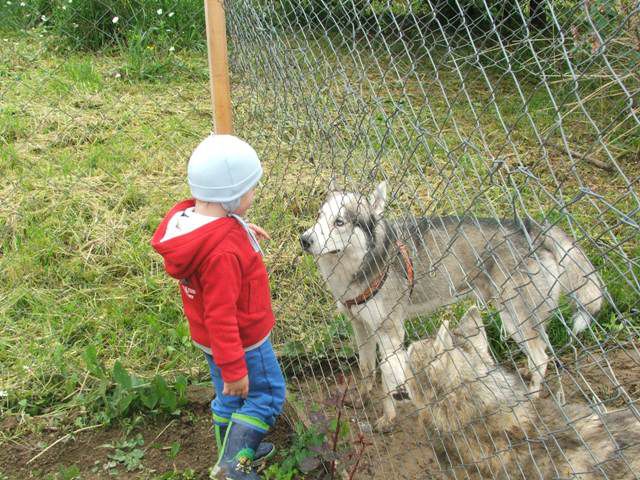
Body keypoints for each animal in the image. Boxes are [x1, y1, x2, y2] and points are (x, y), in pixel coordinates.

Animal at [300, 180, 604, 432]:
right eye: (319, 217)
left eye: (339, 222)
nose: (304, 239)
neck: (361, 265)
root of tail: (532, 228)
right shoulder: (361, 326)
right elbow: (365, 370)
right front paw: (360, 399)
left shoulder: (390, 333)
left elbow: (387, 379)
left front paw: (388, 418)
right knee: (538, 353)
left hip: (514, 318)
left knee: (542, 357)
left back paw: (529, 396)